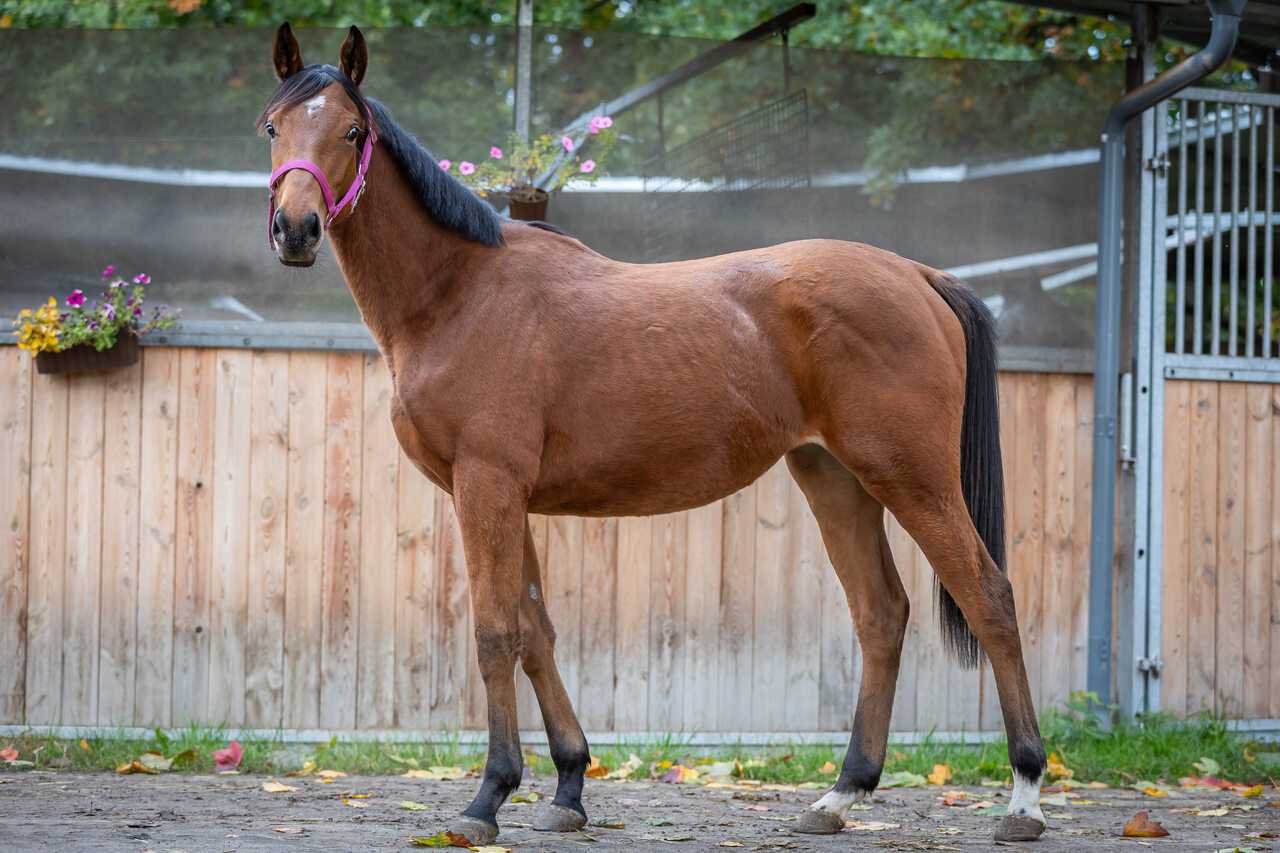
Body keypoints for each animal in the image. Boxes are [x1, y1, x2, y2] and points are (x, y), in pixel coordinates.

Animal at [259, 23, 1048, 845]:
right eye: (273, 126)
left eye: (351, 131)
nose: (295, 229)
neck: (459, 293)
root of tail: (920, 275)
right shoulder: (508, 496)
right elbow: (536, 628)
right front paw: (569, 785)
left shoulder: (486, 484)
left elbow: (496, 631)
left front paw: (487, 798)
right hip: (835, 478)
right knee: (881, 614)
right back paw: (840, 795)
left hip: (913, 478)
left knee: (989, 595)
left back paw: (1023, 797)